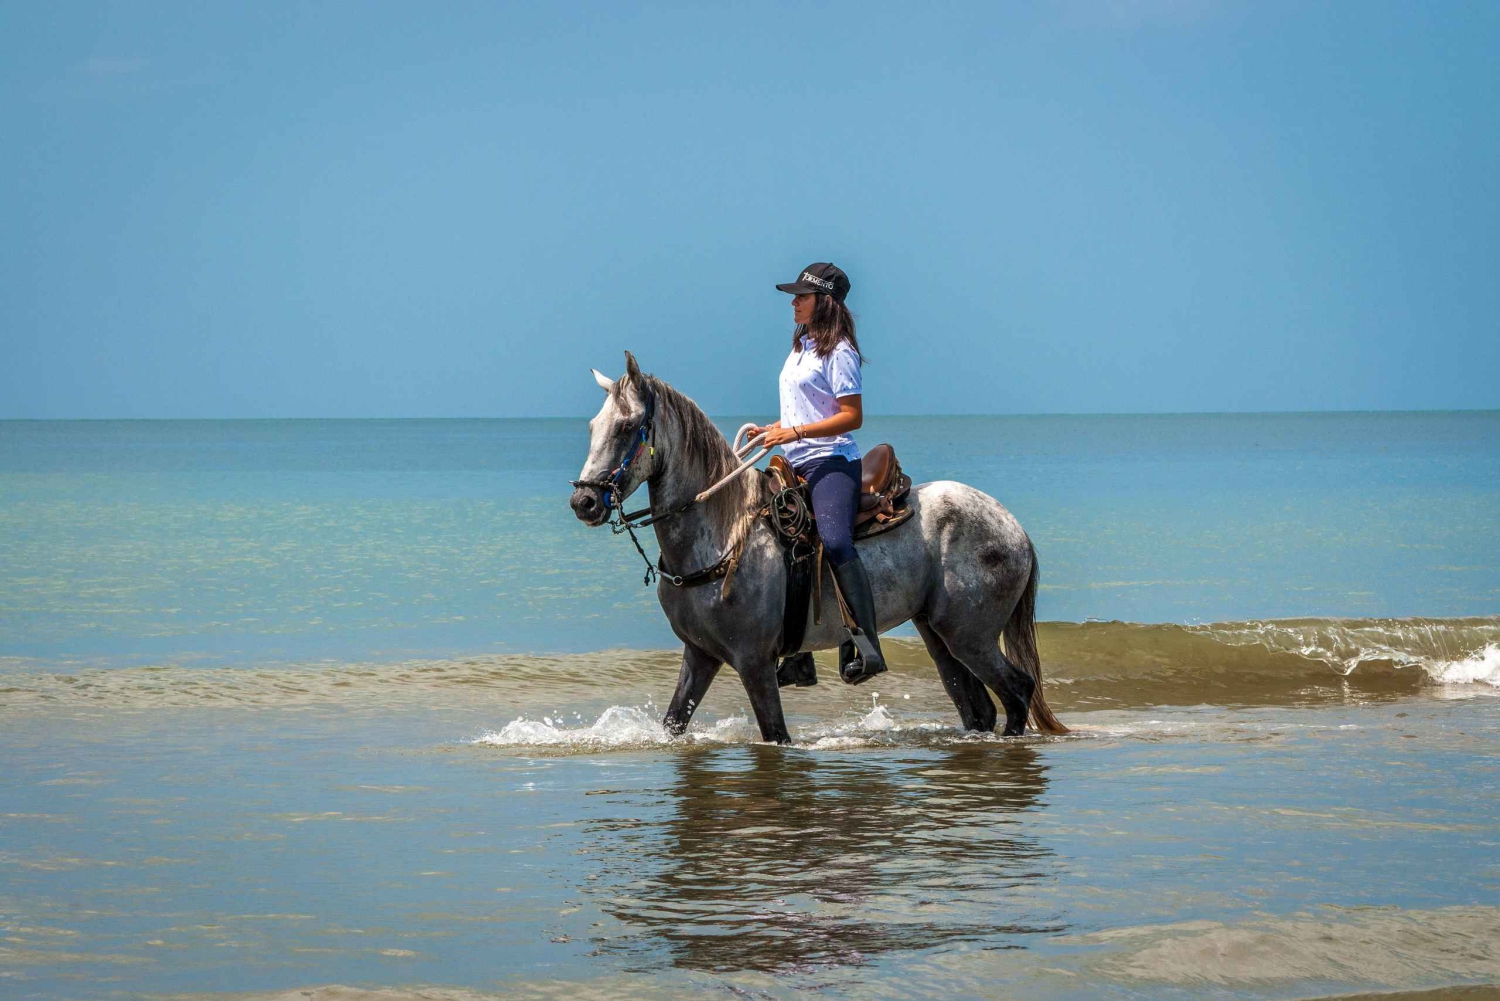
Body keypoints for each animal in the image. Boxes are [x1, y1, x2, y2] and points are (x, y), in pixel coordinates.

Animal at [568, 352, 1067, 744]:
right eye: (594, 426)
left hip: (971, 636)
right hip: (939, 635)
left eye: (628, 426)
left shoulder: (753, 663)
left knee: (1018, 691)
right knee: (978, 708)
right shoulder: (700, 655)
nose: (583, 502)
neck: (724, 538)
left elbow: (775, 734)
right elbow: (674, 722)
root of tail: (1014, 527)